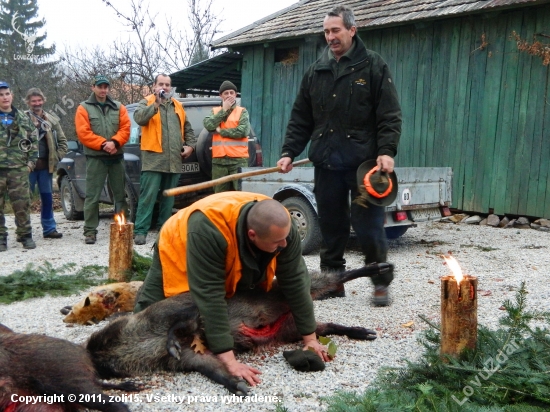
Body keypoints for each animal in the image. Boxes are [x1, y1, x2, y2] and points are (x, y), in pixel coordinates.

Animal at [87, 264, 392, 396]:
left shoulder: (182, 312)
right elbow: (212, 368)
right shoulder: (188, 359)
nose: (90, 354)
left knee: (328, 279)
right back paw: (363, 332)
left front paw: (172, 338)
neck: (144, 339)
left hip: (285, 292)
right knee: (324, 327)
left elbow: (182, 323)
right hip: (291, 330)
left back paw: (378, 268)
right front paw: (241, 386)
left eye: (107, 335)